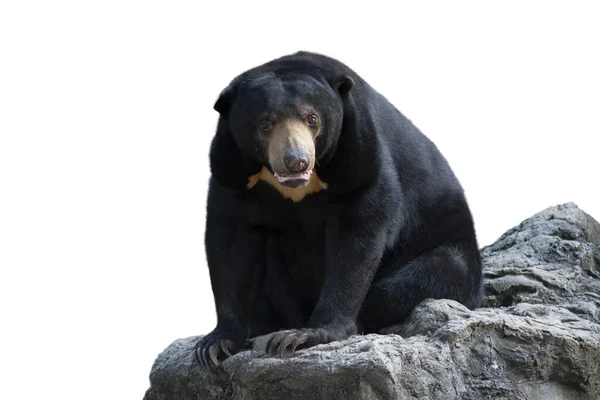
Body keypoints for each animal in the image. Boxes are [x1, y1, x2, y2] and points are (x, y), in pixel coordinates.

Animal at [195, 51, 486, 370]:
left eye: (312, 119)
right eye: (265, 123)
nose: (296, 161)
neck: (296, 186)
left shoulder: (360, 156)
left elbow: (358, 236)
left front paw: (303, 336)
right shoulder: (231, 169)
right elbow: (232, 243)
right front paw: (215, 345)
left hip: (447, 251)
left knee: (417, 281)